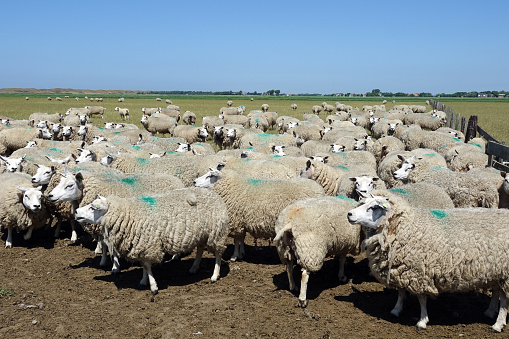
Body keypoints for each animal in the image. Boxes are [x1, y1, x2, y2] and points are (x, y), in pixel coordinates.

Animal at [73, 189, 228, 298]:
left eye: (93, 208)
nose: (76, 211)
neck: (129, 214)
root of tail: (215, 194)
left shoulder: (148, 243)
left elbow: (147, 266)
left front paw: (153, 287)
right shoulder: (141, 244)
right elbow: (143, 264)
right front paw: (143, 280)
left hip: (217, 232)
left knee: (218, 254)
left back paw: (214, 276)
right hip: (203, 234)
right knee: (200, 248)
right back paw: (194, 268)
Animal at [192, 169, 324, 262]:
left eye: (210, 176)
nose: (194, 182)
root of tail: (320, 190)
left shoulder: (237, 220)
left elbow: (236, 240)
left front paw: (235, 256)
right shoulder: (242, 221)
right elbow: (241, 239)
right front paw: (242, 253)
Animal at [348, 193, 508, 334]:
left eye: (374, 207)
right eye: (363, 203)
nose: (349, 214)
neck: (404, 227)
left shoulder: (418, 273)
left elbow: (421, 299)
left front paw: (422, 321)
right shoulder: (401, 270)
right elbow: (400, 292)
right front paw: (396, 309)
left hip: (506, 275)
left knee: (504, 301)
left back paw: (497, 324)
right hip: (497, 271)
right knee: (497, 291)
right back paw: (490, 311)